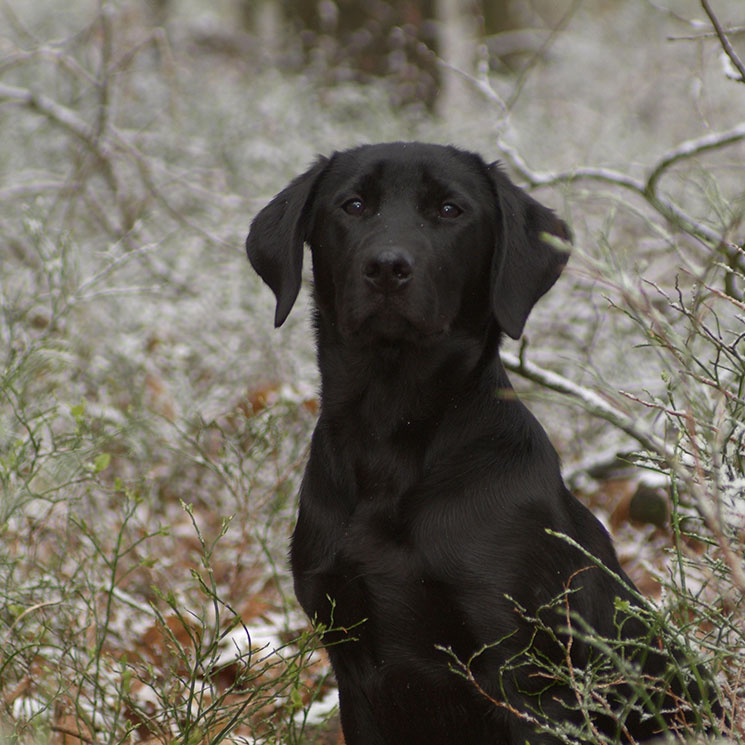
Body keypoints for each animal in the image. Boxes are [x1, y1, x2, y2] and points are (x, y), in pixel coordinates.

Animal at [246, 142, 716, 740]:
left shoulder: (529, 682)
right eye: (352, 205)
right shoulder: (352, 665)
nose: (387, 267)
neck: (392, 433)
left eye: (450, 210)